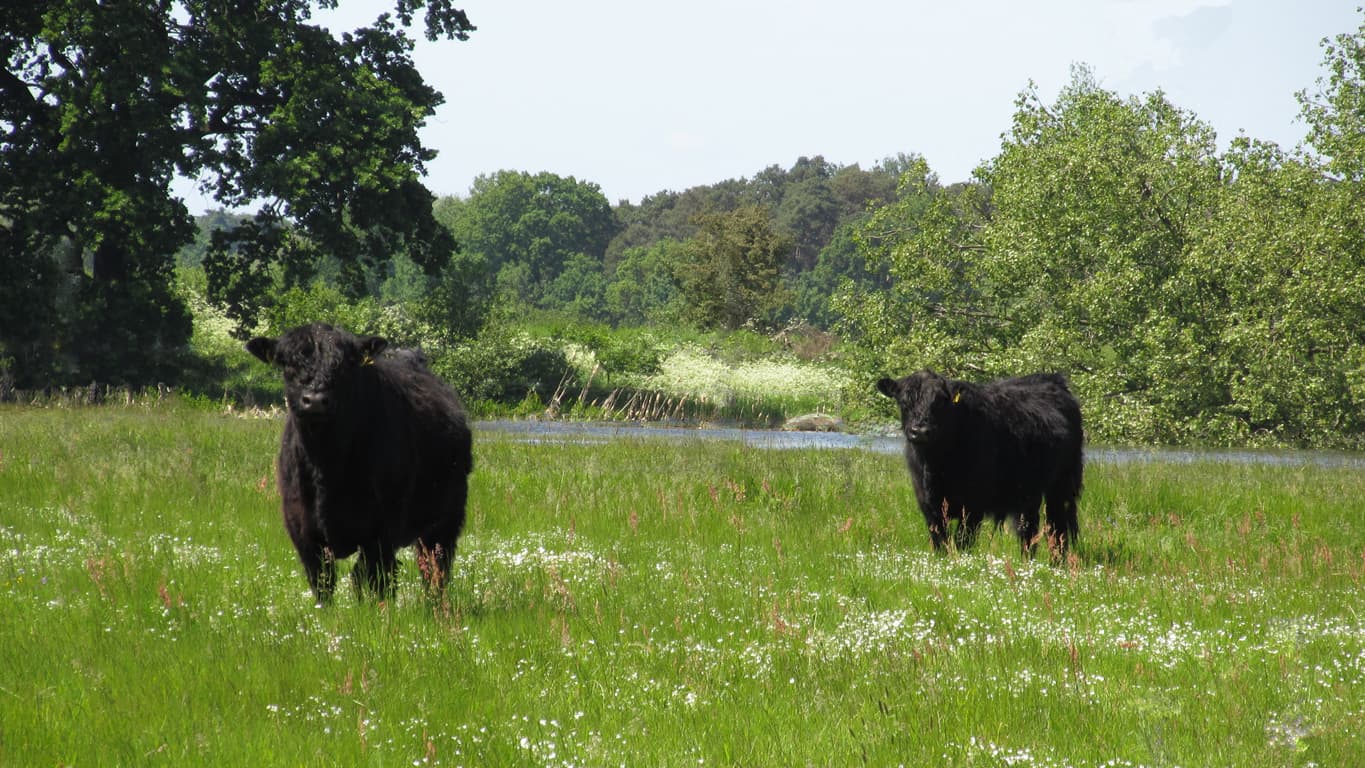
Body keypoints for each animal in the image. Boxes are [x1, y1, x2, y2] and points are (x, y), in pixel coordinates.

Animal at [245, 321, 475, 602]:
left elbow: (377, 581)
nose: (315, 400)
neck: (326, 464)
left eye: (345, 365)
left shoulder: (381, 532)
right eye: (287, 363)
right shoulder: (304, 534)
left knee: (434, 571)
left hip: (445, 521)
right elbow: (324, 587)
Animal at [873, 371, 1086, 556]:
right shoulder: (929, 507)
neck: (935, 464)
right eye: (903, 401)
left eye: (941, 401)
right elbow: (940, 542)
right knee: (1029, 531)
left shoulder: (973, 506)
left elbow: (963, 541)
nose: (920, 431)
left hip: (1062, 487)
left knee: (1057, 529)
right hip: (1028, 492)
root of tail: (1053, 379)